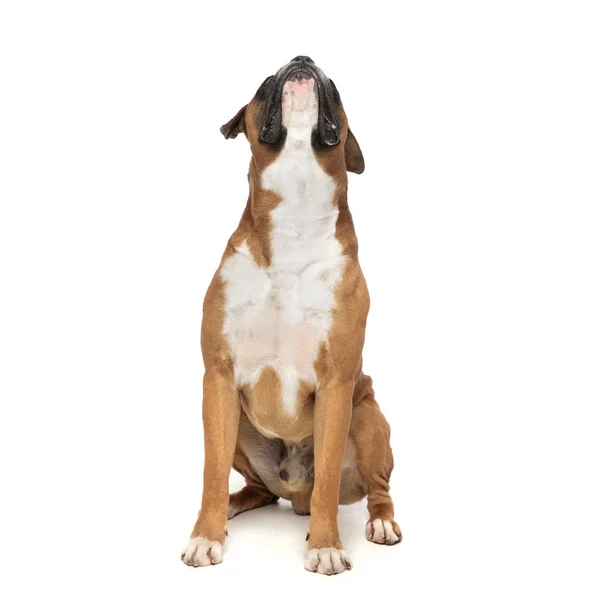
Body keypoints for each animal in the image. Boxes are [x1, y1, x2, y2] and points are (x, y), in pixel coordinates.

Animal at [180, 57, 400, 576]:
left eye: (334, 86)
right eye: (264, 82)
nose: (302, 60)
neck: (297, 210)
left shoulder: (337, 384)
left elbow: (328, 484)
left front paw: (325, 545)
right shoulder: (218, 378)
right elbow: (211, 470)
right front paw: (205, 535)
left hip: (367, 418)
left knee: (375, 489)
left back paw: (380, 523)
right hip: (240, 425)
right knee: (258, 488)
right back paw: (232, 507)